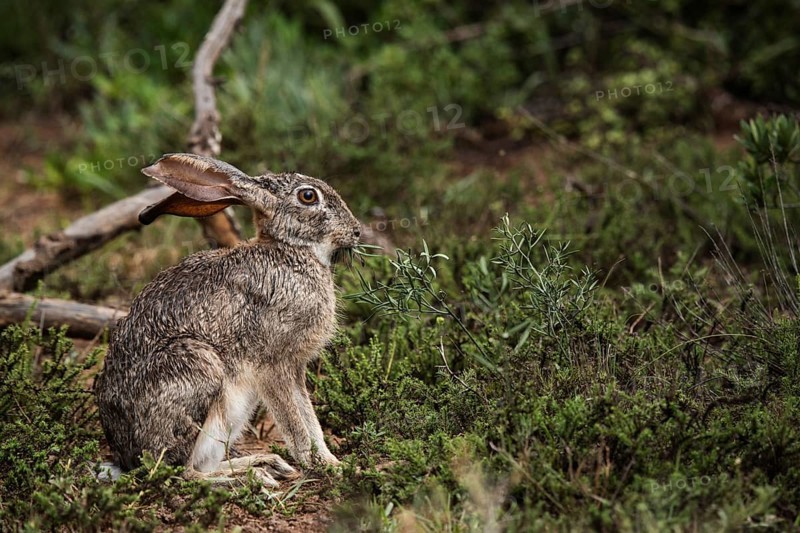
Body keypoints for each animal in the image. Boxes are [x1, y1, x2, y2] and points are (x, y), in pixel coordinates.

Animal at [94, 153, 361, 485]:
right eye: (308, 196)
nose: (356, 231)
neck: (289, 251)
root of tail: (125, 460)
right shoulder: (273, 364)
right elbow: (294, 421)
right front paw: (322, 466)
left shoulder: (295, 367)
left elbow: (309, 417)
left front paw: (333, 463)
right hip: (197, 366)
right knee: (181, 472)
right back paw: (254, 478)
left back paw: (266, 463)